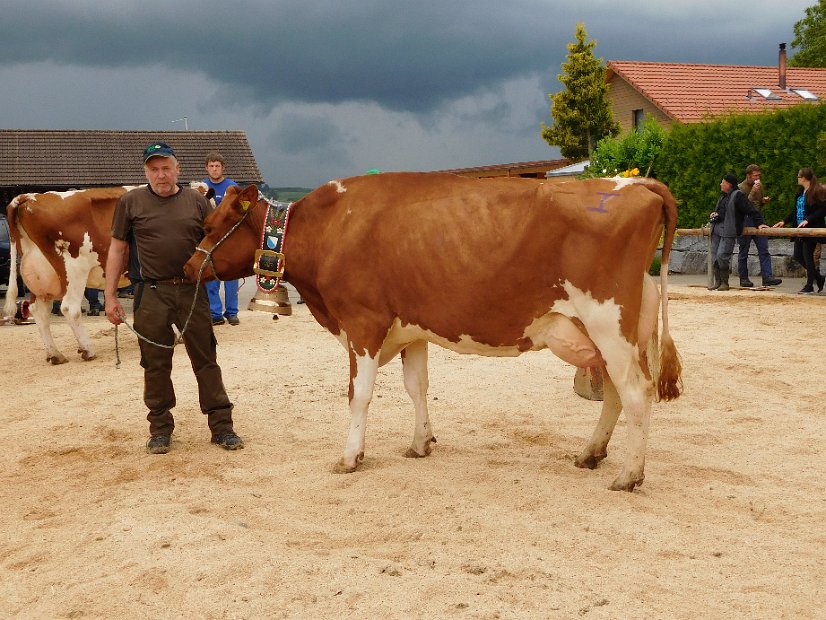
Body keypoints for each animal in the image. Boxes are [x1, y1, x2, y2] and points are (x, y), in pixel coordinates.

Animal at [187, 173, 684, 490]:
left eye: (210, 225)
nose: (189, 267)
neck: (331, 227)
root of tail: (632, 183)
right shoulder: (411, 330)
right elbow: (417, 386)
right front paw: (420, 442)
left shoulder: (363, 322)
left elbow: (359, 394)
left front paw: (350, 456)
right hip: (613, 331)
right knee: (616, 393)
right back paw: (591, 454)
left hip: (608, 321)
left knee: (636, 393)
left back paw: (629, 475)